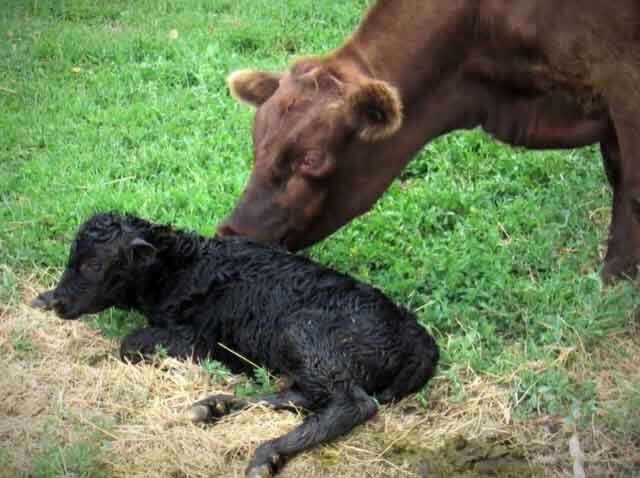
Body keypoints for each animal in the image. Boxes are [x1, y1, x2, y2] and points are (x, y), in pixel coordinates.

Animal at [219, 0, 640, 282]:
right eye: (256, 144)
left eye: (311, 159)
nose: (231, 234)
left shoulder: (623, 77)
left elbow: (631, 187)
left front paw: (615, 279)